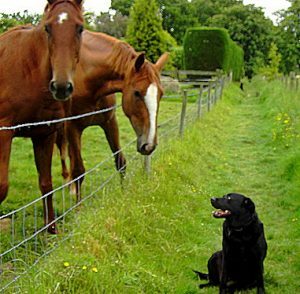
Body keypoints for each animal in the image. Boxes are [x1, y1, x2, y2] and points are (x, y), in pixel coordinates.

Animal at [0, 0, 83, 234]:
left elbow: (46, 183)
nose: (61, 87)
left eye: (80, 28)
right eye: (47, 28)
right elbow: (1, 188)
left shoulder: (44, 134)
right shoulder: (4, 134)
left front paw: (51, 229)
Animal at [56, 31, 169, 199]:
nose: (149, 145)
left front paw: (123, 195)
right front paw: (78, 206)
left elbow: (120, 161)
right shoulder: (73, 126)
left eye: (161, 94)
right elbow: (78, 172)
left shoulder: (109, 122)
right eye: (137, 93)